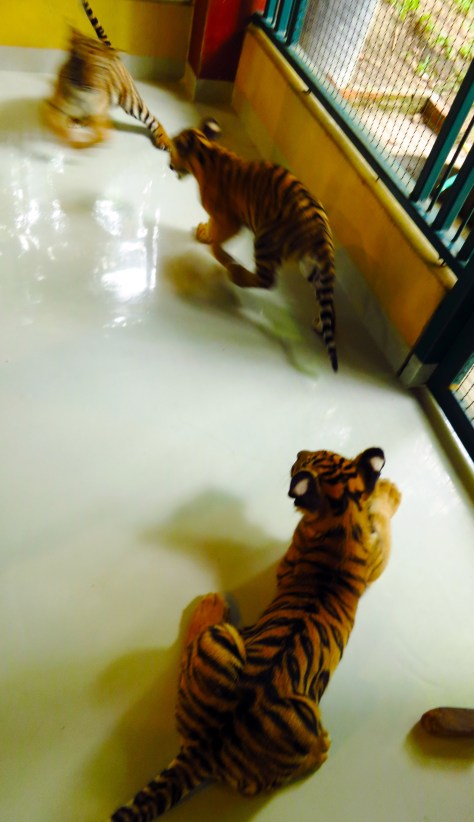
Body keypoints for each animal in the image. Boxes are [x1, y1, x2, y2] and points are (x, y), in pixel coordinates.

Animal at [42, 0, 170, 150]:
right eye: (78, 61)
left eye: (97, 68)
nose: (84, 84)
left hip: (131, 102)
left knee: (153, 120)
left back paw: (164, 141)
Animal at [111, 446, 401, 820]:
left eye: (309, 459)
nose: (298, 452)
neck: (342, 518)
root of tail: (205, 747)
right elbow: (381, 521)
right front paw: (389, 490)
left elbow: (381, 518)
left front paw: (388, 491)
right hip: (257, 674)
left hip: (227, 649)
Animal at [169, 119, 338, 372]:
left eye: (173, 149)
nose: (170, 165)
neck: (205, 150)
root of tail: (320, 231)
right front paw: (205, 234)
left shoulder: (228, 221)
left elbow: (216, 240)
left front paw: (212, 245)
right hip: (312, 269)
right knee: (328, 305)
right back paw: (319, 324)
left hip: (266, 239)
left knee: (268, 280)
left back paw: (236, 273)